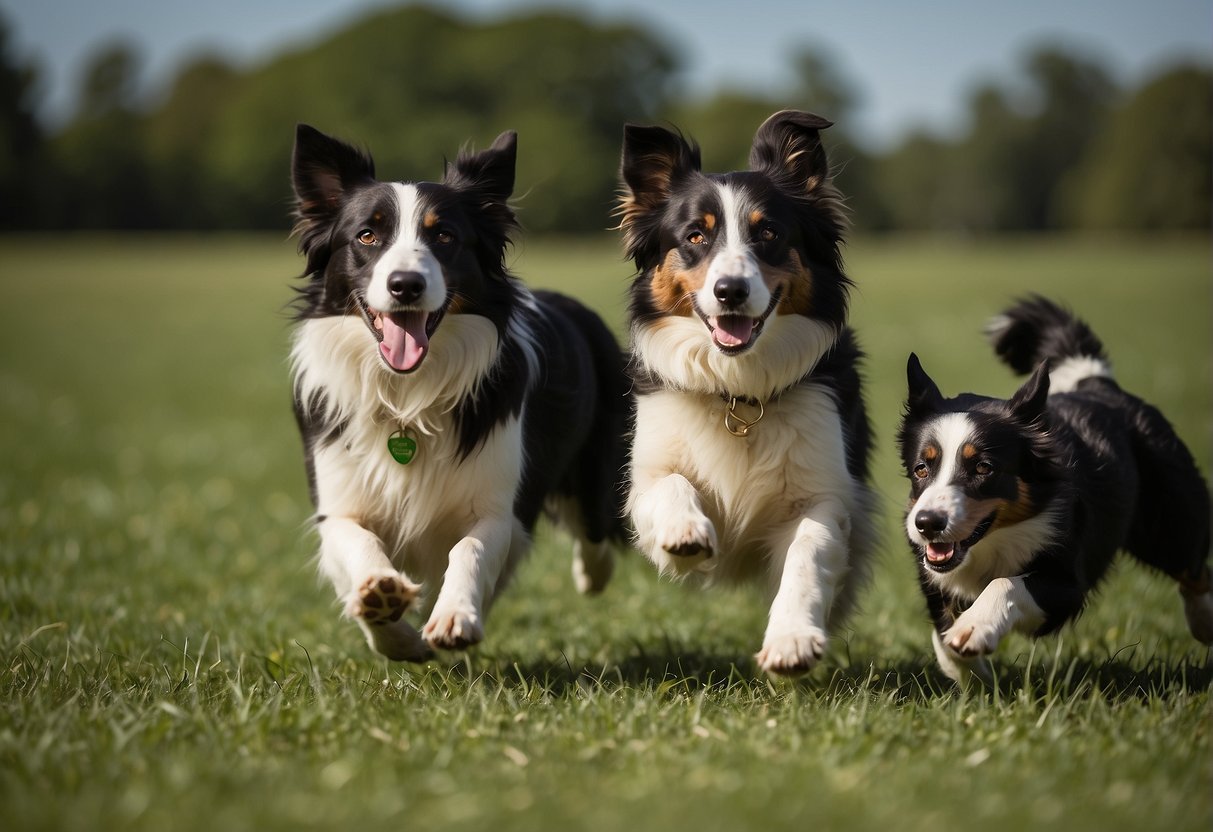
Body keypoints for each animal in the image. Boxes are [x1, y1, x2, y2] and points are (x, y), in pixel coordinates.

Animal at [283, 123, 625, 659]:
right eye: (367, 235)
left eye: (444, 235)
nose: (405, 285)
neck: (407, 394)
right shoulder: (336, 503)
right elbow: (357, 547)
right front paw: (388, 615)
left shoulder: (498, 506)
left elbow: (471, 549)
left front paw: (454, 616)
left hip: (595, 472)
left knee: (596, 534)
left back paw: (592, 575)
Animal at [621, 110, 878, 679]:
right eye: (695, 235)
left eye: (769, 233)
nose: (730, 291)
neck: (738, 391)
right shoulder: (645, 477)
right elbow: (670, 485)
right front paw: (686, 532)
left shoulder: (824, 493)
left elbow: (807, 554)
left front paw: (792, 639)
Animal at [902, 297, 1213, 688]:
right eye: (921, 468)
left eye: (984, 468)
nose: (927, 523)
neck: (993, 541)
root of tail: (1098, 383)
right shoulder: (934, 579)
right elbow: (943, 637)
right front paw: (974, 674)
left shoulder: (1068, 585)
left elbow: (1006, 583)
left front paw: (974, 628)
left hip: (1171, 522)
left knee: (1195, 569)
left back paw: (1204, 624)